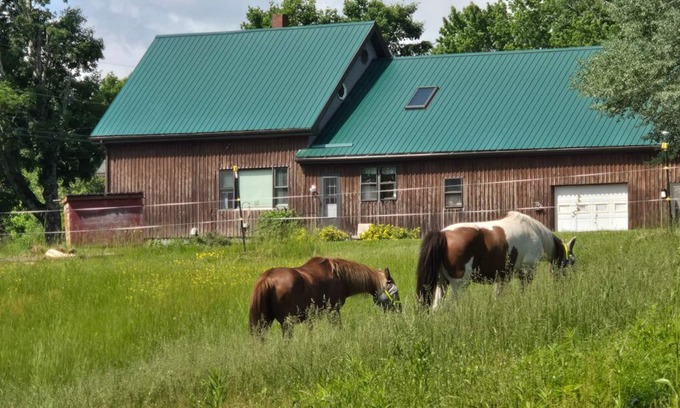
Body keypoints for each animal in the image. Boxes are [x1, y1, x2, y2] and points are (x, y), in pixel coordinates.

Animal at [249, 256, 400, 335]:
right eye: (395, 291)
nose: (399, 310)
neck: (340, 276)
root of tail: (267, 278)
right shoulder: (334, 311)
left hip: (264, 322)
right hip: (287, 323)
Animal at [416, 211, 576, 309]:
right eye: (572, 261)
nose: (567, 284)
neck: (535, 232)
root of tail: (443, 234)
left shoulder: (502, 277)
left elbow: (497, 296)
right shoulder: (527, 272)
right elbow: (524, 292)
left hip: (441, 283)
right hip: (459, 285)